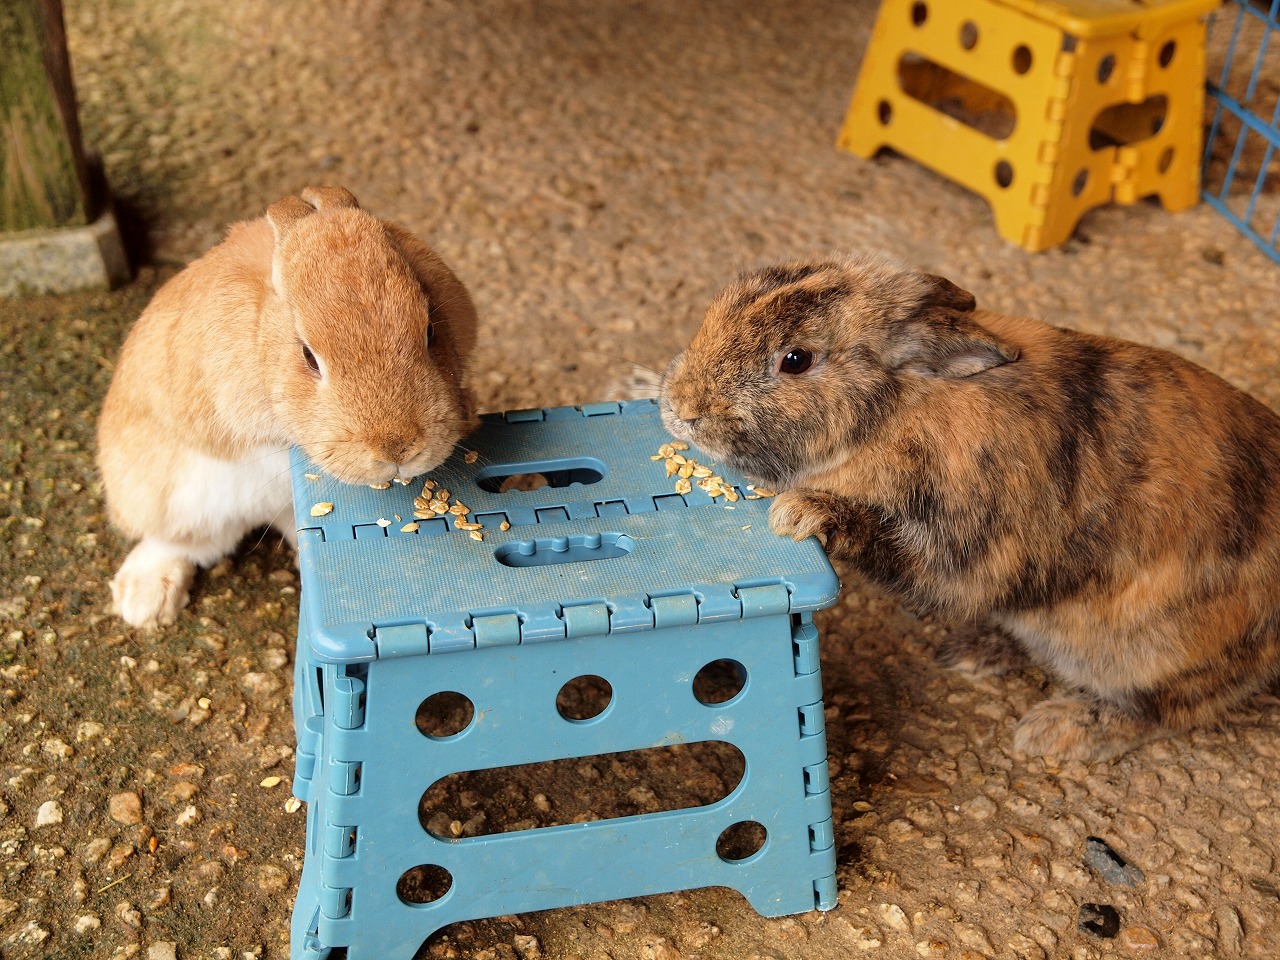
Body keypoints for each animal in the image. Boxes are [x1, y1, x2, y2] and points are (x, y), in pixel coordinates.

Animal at [98, 188, 481, 632]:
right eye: (309, 356)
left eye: (430, 330)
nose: (397, 448)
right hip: (163, 498)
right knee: (177, 542)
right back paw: (144, 599)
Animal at [660, 253, 1280, 768]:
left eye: (795, 360)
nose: (680, 408)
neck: (898, 409)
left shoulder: (964, 551)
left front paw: (803, 513)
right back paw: (975, 653)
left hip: (1161, 653)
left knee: (1168, 709)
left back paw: (1058, 731)